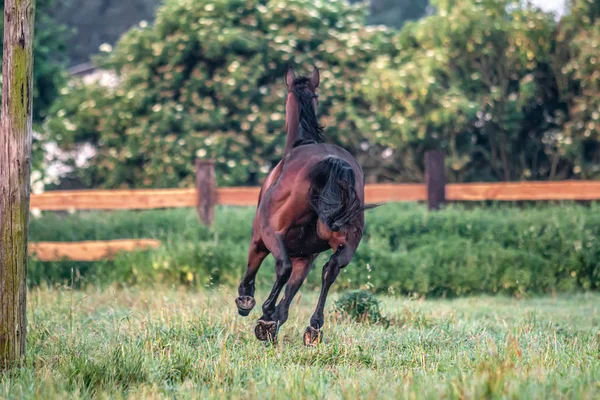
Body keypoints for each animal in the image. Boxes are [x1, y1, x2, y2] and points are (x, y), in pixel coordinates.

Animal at [236, 66, 370, 346]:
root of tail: (332, 163)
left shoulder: (260, 240)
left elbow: (254, 271)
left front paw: (249, 304)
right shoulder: (305, 257)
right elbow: (289, 296)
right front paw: (274, 323)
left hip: (271, 236)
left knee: (282, 267)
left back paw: (265, 315)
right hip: (346, 244)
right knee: (330, 270)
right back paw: (313, 328)